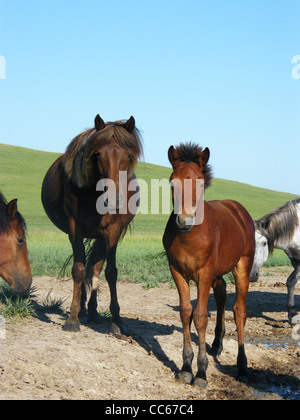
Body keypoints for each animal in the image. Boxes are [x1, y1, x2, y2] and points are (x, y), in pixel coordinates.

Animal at [42, 115, 143, 334]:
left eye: (129, 155)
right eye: (97, 154)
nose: (114, 199)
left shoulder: (112, 232)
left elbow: (110, 273)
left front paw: (117, 321)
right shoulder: (75, 230)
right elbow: (78, 270)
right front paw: (72, 318)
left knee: (96, 268)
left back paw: (93, 312)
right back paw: (82, 310)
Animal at [163, 143, 254, 386]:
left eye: (201, 183)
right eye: (172, 183)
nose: (184, 221)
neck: (190, 236)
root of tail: (238, 208)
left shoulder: (203, 273)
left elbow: (201, 316)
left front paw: (201, 372)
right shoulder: (177, 271)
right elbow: (186, 312)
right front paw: (186, 367)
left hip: (242, 266)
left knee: (239, 310)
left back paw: (242, 366)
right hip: (217, 273)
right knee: (221, 294)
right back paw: (217, 344)